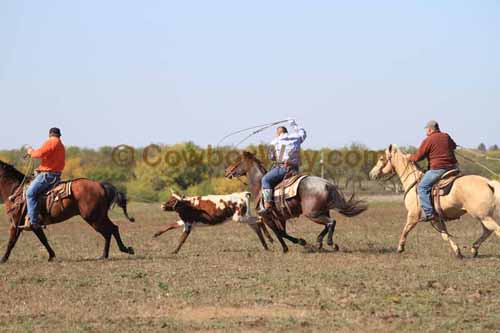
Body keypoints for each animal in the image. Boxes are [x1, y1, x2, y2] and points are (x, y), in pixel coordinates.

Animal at [0, 160, 136, 260]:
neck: (15, 191)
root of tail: (100, 185)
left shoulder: (15, 224)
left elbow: (11, 242)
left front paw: (3, 259)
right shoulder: (32, 225)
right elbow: (43, 239)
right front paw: (52, 256)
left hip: (93, 218)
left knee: (109, 231)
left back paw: (118, 251)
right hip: (100, 216)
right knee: (112, 229)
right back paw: (109, 254)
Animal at [225, 151, 370, 252]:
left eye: (238, 162)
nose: (227, 170)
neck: (260, 185)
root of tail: (327, 184)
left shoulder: (267, 217)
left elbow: (279, 233)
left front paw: (294, 244)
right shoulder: (280, 217)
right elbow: (282, 232)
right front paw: (294, 244)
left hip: (312, 214)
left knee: (331, 222)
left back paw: (330, 243)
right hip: (321, 211)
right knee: (328, 224)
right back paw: (319, 242)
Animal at [368, 145, 500, 256]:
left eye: (381, 158)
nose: (372, 174)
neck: (413, 181)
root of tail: (488, 182)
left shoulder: (413, 215)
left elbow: (405, 229)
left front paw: (400, 247)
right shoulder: (435, 218)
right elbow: (445, 235)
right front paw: (457, 251)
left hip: (483, 216)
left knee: (494, 230)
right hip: (483, 216)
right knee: (487, 231)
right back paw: (474, 249)